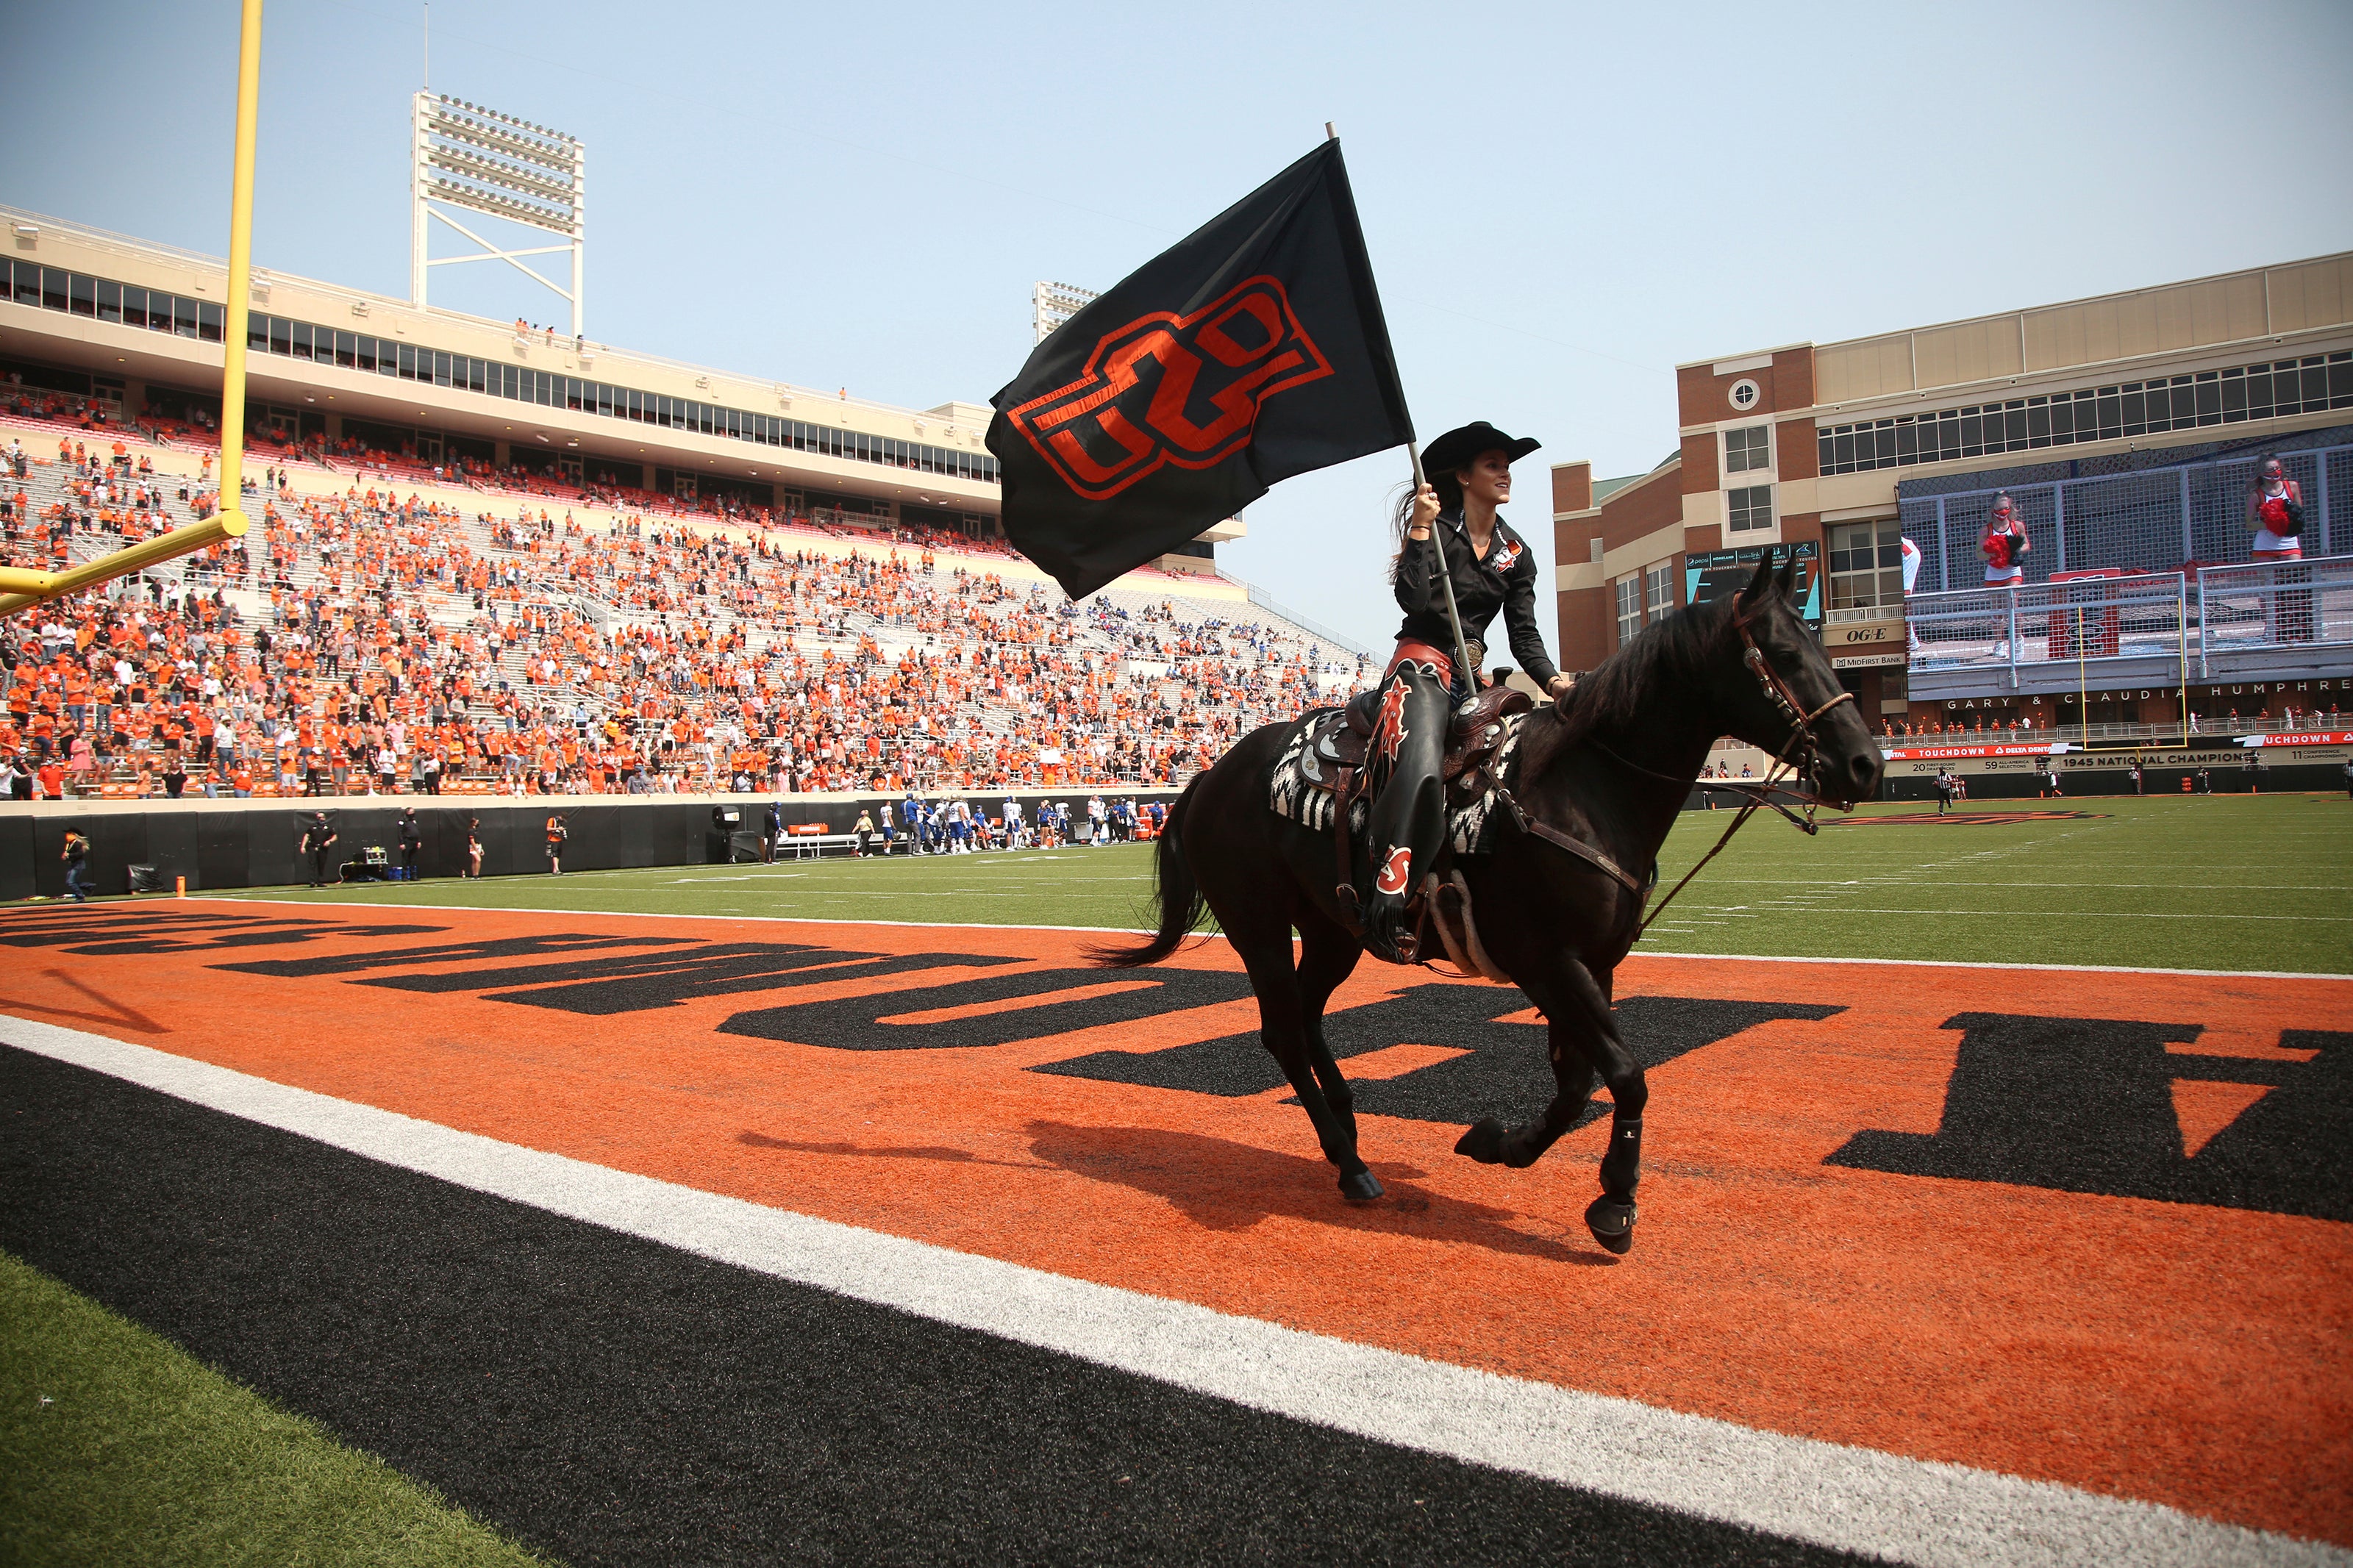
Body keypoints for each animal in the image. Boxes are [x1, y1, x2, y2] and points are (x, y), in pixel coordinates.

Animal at [1091, 550, 1882, 1250]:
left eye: (1819, 644)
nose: (1864, 764)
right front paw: (1615, 1201)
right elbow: (1625, 1076)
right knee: (1283, 1033)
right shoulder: (1545, 960)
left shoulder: (1591, 966)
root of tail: (1207, 777)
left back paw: (1348, 1128)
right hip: (1257, 928)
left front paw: (1500, 1143)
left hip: (1333, 930)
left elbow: (1576, 1084)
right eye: (1781, 652)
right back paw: (1348, 1165)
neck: (1581, 789)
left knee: (1308, 1021)